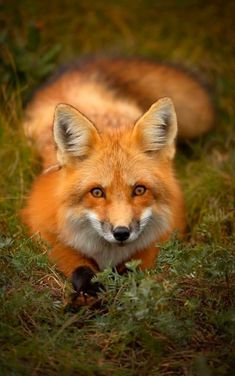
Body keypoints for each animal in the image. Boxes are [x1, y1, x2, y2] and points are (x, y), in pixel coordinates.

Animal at [21, 57, 213, 296]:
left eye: (139, 190)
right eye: (97, 192)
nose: (121, 233)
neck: (109, 255)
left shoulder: (164, 235)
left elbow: (134, 270)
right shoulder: (48, 235)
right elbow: (81, 270)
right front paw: (88, 295)